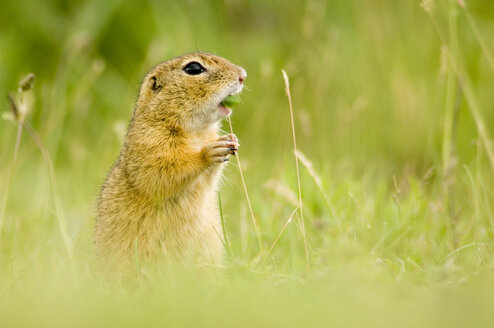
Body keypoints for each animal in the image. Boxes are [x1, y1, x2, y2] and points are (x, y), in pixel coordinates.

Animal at [93, 53, 246, 270]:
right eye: (193, 68)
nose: (243, 75)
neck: (196, 133)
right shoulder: (151, 145)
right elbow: (164, 173)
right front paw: (208, 152)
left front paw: (231, 140)